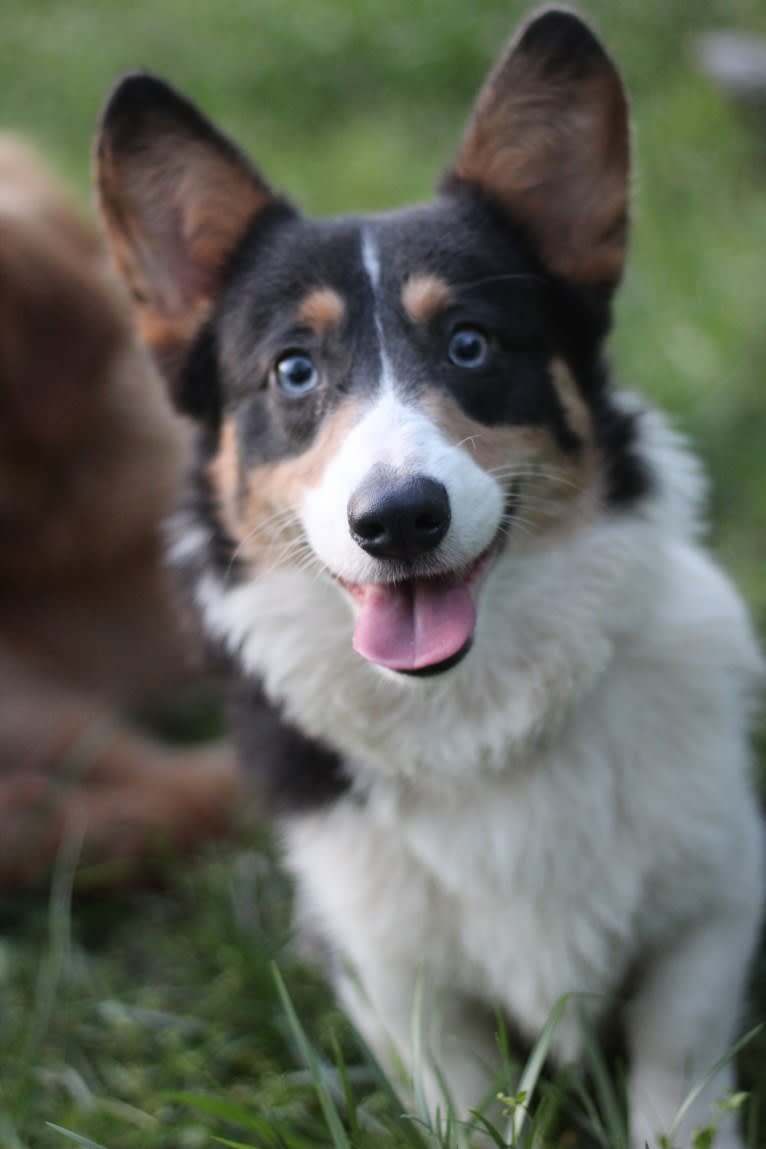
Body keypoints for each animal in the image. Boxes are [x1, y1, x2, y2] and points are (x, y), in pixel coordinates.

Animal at [95, 11, 766, 1149]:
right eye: (293, 370)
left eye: (469, 345)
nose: (400, 519)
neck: (473, 713)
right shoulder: (389, 974)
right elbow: (461, 1100)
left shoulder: (713, 904)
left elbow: (676, 1072)